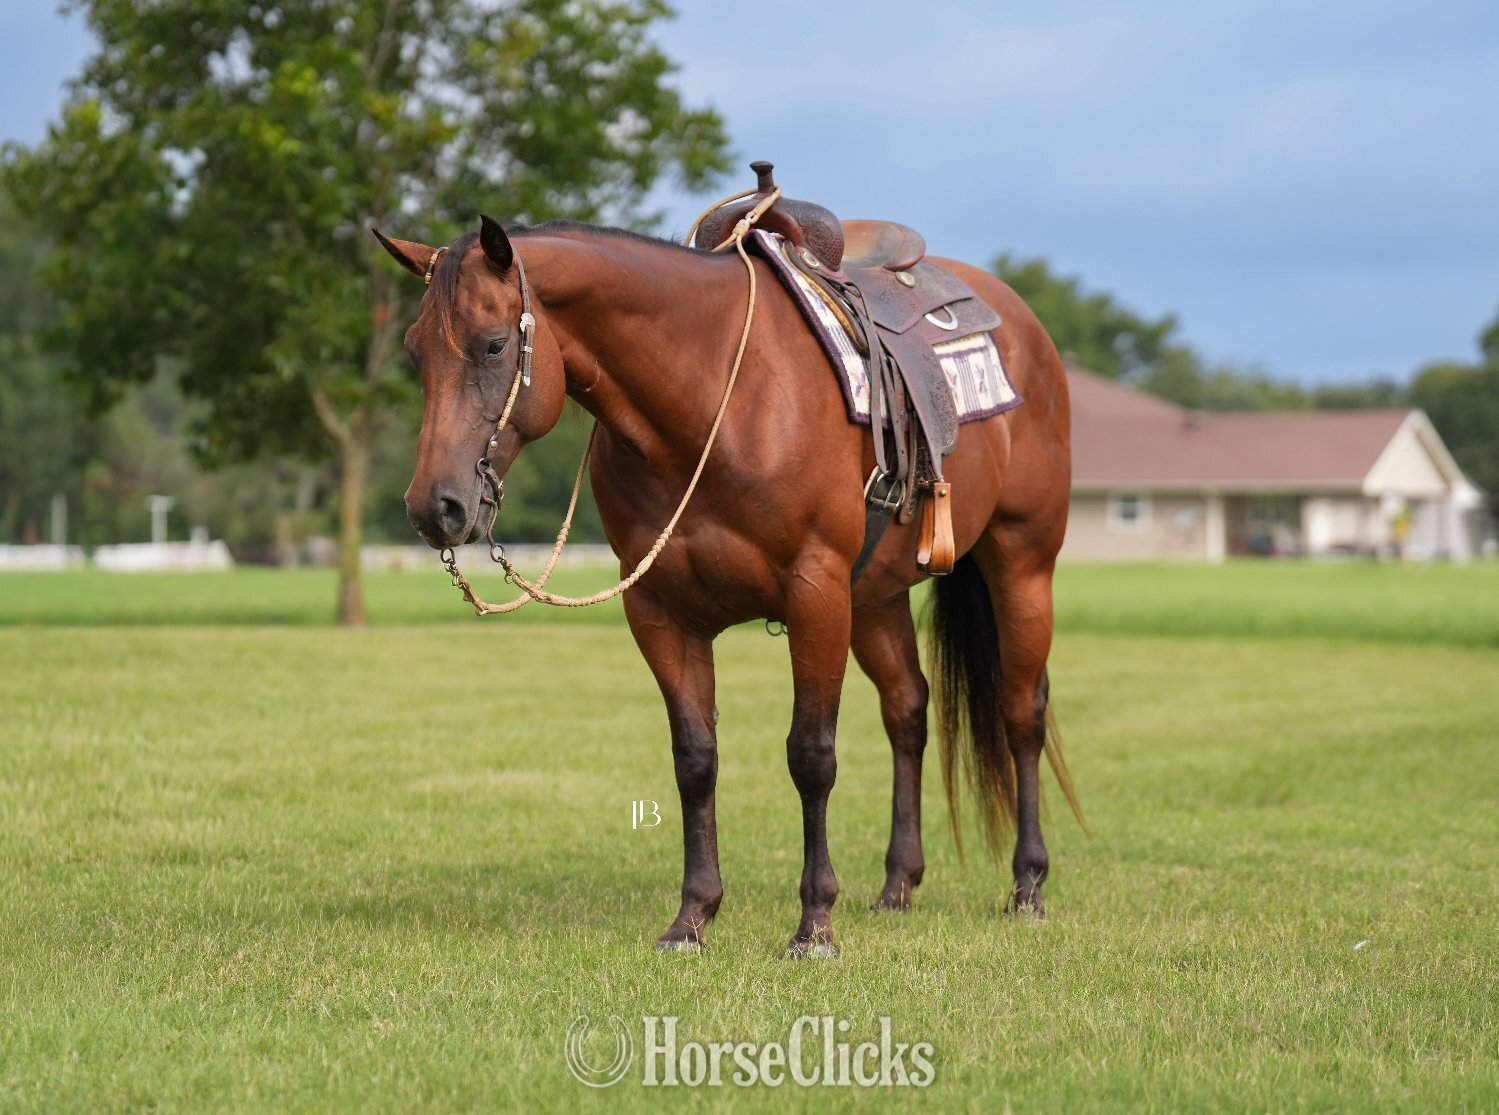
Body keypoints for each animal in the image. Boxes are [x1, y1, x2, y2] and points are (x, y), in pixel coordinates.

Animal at [374, 209, 1081, 957]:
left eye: (492, 344)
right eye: (415, 353)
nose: (434, 507)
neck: (716, 399)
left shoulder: (815, 593)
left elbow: (811, 755)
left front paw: (814, 925)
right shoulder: (660, 612)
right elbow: (695, 759)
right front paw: (692, 917)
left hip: (1021, 561)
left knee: (1020, 711)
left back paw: (1028, 885)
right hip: (875, 599)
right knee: (907, 711)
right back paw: (898, 883)